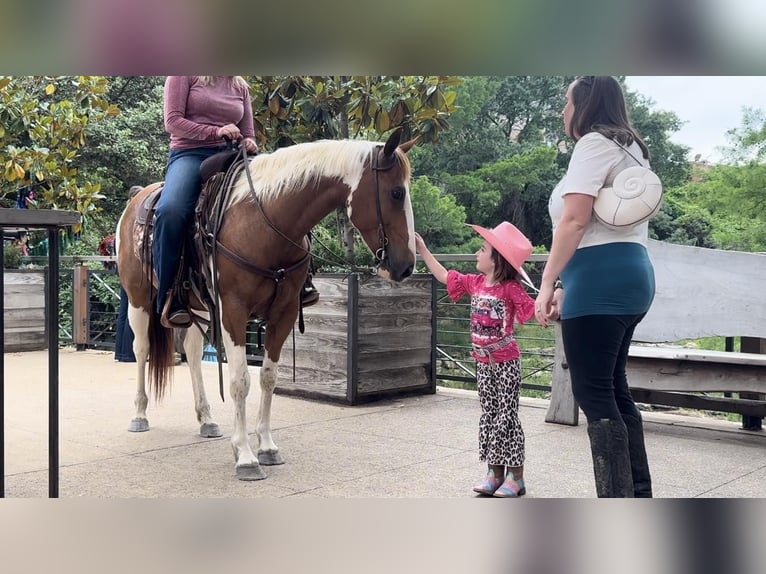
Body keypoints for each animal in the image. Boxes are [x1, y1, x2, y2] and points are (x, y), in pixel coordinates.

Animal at [117, 130, 416, 482]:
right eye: (396, 193)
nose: (406, 266)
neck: (263, 220)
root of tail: (137, 196)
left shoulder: (283, 313)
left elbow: (268, 377)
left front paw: (266, 446)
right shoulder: (233, 311)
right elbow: (239, 381)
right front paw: (245, 455)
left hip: (197, 305)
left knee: (191, 350)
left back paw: (206, 418)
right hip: (138, 300)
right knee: (141, 349)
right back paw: (139, 414)